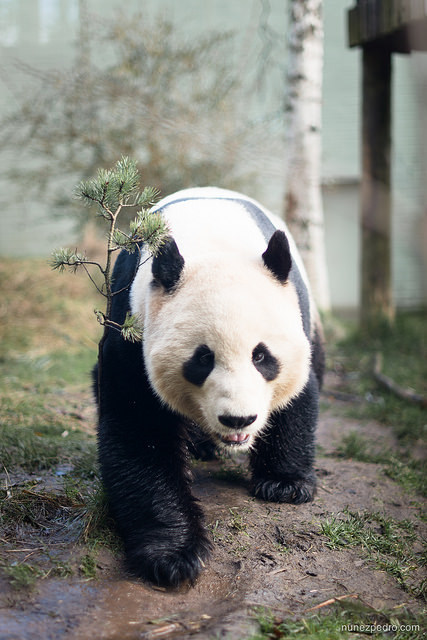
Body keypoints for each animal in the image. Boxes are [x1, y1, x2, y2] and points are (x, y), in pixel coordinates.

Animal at [96, 187, 324, 588]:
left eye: (261, 356)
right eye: (203, 359)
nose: (239, 420)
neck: (214, 244)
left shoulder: (294, 312)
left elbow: (297, 394)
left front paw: (285, 484)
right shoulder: (133, 325)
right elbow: (138, 428)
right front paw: (173, 555)